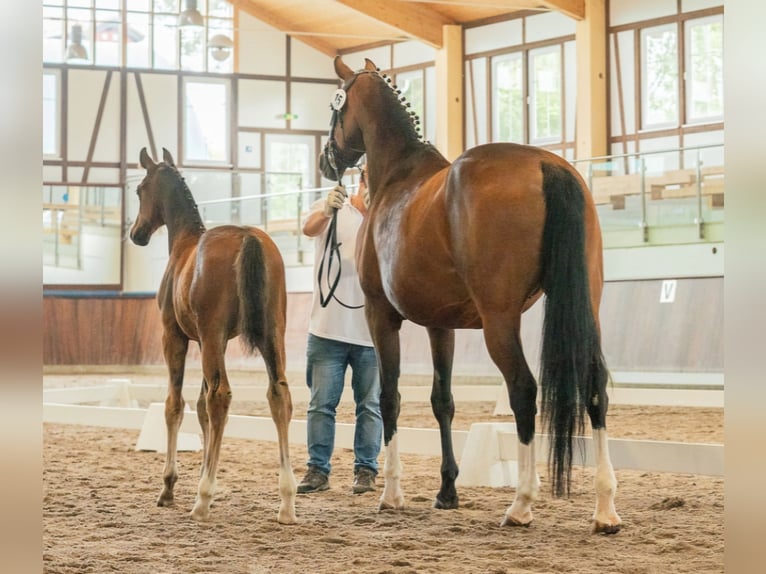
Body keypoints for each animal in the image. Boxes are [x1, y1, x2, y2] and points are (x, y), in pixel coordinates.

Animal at [129, 147, 297, 524]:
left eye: (139, 190)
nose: (136, 233)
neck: (185, 245)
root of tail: (249, 237)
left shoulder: (176, 337)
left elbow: (176, 405)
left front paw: (170, 487)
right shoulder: (210, 342)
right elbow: (202, 409)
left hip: (212, 336)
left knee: (220, 397)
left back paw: (202, 501)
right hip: (270, 335)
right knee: (278, 394)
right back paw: (286, 502)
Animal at [319, 56, 622, 534]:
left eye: (335, 106)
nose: (325, 160)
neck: (399, 176)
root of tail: (545, 165)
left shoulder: (381, 315)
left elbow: (390, 399)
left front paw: (392, 495)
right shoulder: (440, 325)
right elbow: (442, 401)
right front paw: (447, 491)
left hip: (499, 321)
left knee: (523, 391)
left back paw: (521, 504)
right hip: (585, 306)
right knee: (595, 386)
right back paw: (605, 509)